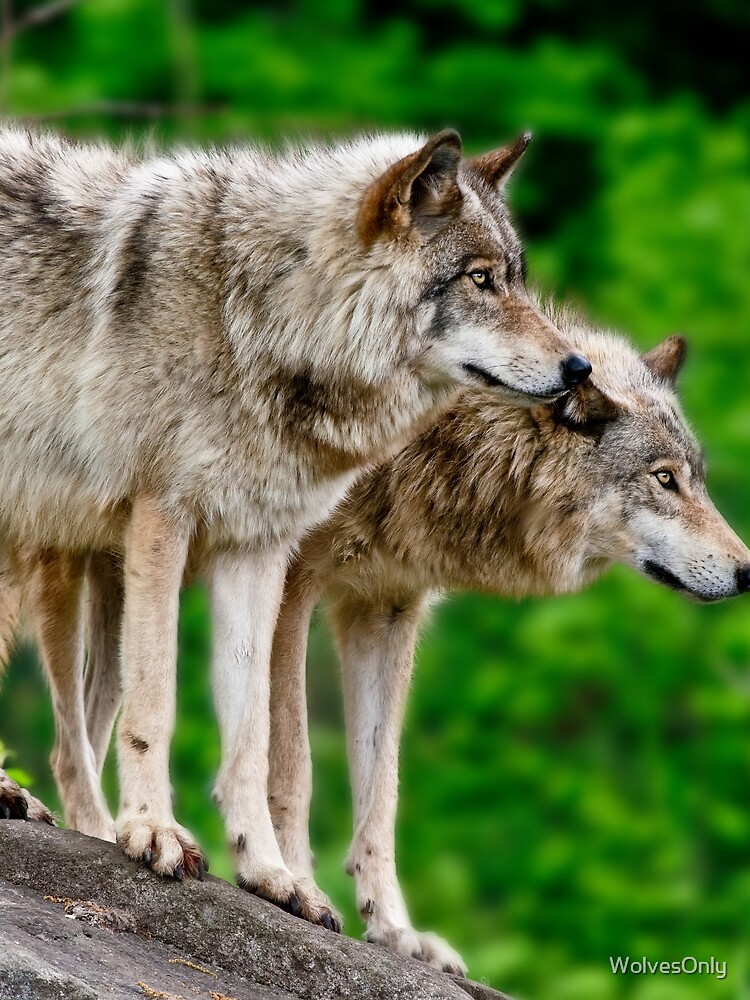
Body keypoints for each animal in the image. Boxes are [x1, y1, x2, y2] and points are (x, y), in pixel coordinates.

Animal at [0, 126, 586, 921]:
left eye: (516, 279)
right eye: (480, 280)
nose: (580, 368)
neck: (256, 316)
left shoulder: (256, 549)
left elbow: (251, 733)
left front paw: (270, 874)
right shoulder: (162, 518)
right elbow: (155, 702)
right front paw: (152, 832)